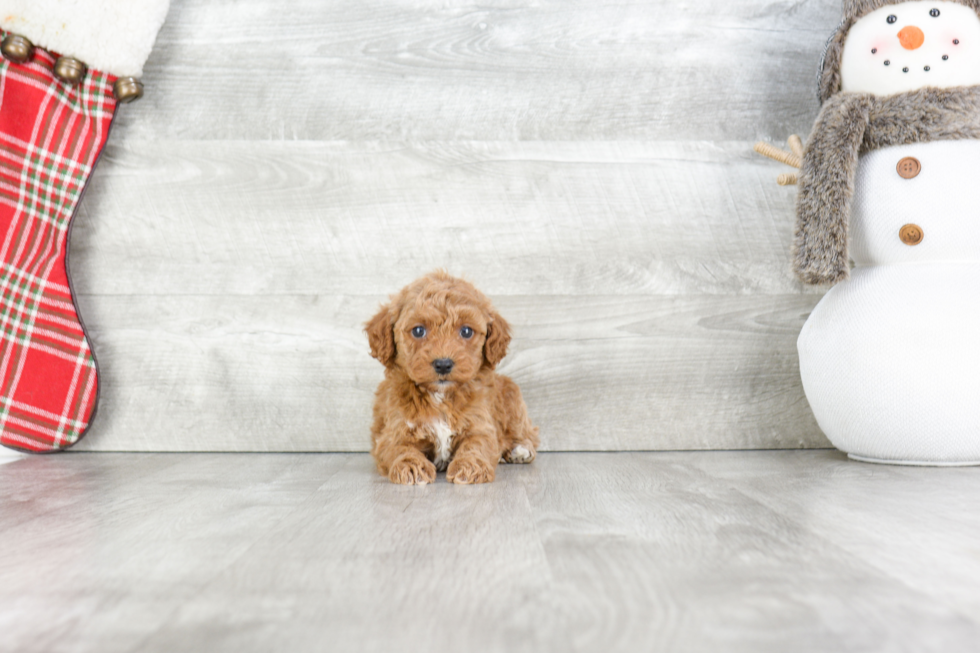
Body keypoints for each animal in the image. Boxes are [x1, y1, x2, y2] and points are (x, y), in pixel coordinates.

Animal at [366, 270, 540, 484]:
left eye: (466, 331)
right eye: (418, 330)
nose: (443, 364)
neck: (441, 396)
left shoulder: (480, 424)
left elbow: (477, 444)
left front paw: (470, 466)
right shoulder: (394, 430)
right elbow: (399, 447)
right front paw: (412, 466)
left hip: (512, 397)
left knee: (526, 433)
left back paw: (520, 449)